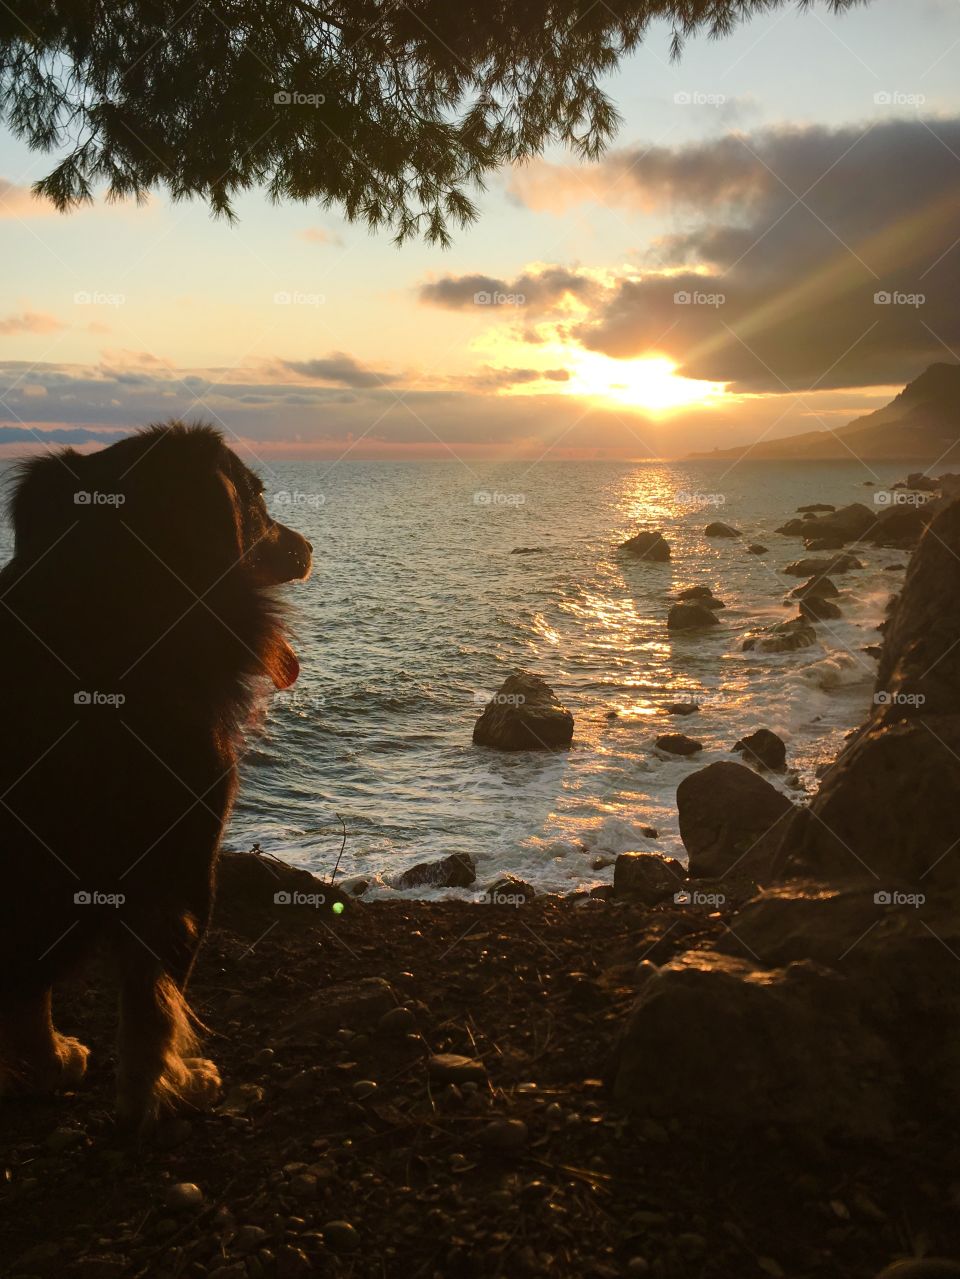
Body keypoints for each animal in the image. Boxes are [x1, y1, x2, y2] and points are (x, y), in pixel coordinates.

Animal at [0, 422, 311, 1130]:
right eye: (255, 497)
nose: (308, 547)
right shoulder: (184, 864)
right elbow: (152, 1006)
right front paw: (161, 1092)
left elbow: (32, 992)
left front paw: (47, 1060)